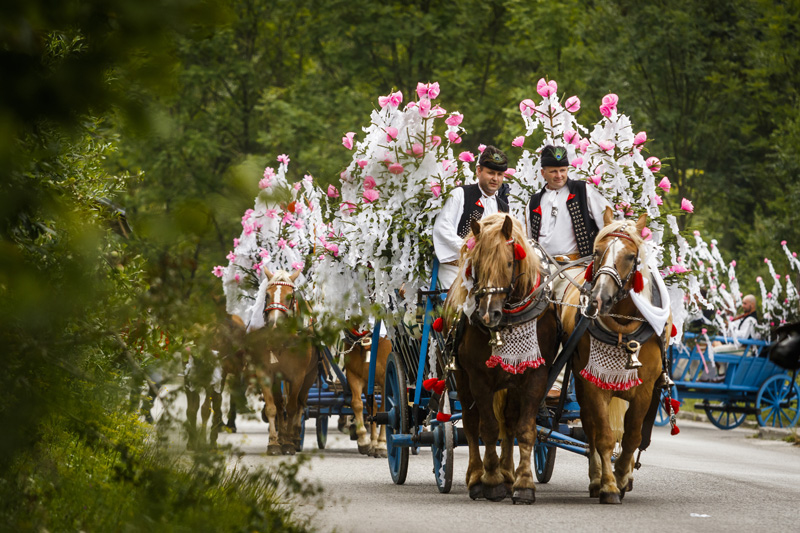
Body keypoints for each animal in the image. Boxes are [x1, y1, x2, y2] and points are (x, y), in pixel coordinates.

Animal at [249, 268, 319, 455]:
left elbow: (293, 407)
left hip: (310, 376)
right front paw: (274, 443)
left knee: (300, 403)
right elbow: (273, 407)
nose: (274, 325)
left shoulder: (298, 376)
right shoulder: (266, 373)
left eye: (290, 296)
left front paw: (288, 444)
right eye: (267, 295)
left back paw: (294, 438)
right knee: (281, 406)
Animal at [443, 213, 559, 504]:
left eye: (508, 263)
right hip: (462, 378)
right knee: (472, 424)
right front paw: (491, 481)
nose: (488, 314)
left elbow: (524, 430)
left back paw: (508, 475)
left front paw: (523, 484)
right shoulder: (479, 379)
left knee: (508, 422)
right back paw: (477, 477)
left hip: (511, 383)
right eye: (477, 266)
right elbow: (487, 428)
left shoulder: (535, 375)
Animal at [561, 208, 671, 504]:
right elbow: (604, 437)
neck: (623, 329)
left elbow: (633, 436)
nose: (598, 299)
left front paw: (622, 477)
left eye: (631, 256)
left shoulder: (645, 389)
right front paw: (609, 485)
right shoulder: (594, 385)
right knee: (590, 430)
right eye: (597, 251)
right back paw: (597, 478)